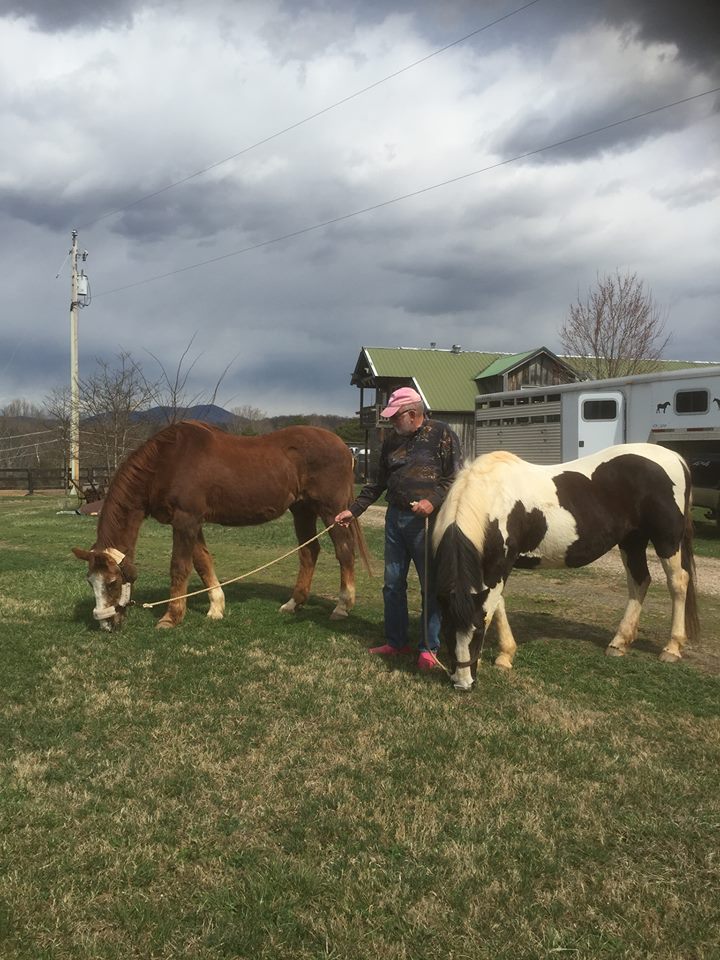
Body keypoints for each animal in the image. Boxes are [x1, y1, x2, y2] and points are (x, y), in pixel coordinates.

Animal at [72, 420, 368, 632]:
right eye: (90, 581)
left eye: (112, 582)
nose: (106, 624)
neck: (167, 462)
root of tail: (344, 447)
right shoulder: (191, 522)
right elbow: (202, 562)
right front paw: (216, 608)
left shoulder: (186, 520)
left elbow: (179, 567)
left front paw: (171, 617)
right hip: (302, 510)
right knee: (309, 553)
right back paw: (293, 604)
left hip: (333, 511)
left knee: (344, 552)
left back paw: (342, 607)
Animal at [434, 442, 696, 688]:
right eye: (445, 630)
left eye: (478, 632)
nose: (463, 683)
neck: (491, 496)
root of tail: (676, 457)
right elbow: (497, 605)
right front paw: (505, 655)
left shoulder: (500, 565)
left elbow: (492, 608)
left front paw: (501, 657)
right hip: (632, 540)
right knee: (640, 581)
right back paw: (619, 643)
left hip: (666, 541)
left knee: (678, 583)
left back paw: (671, 648)